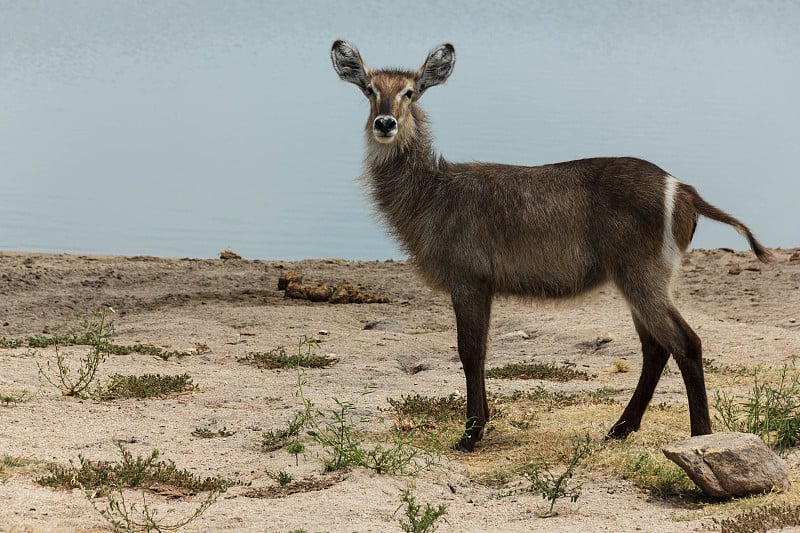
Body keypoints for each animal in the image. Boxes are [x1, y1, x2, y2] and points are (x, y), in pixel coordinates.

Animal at [328, 39, 772, 450]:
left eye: (410, 91)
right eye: (369, 88)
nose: (385, 123)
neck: (431, 195)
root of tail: (685, 190)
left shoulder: (468, 280)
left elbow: (468, 352)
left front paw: (470, 435)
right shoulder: (483, 286)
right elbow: (482, 353)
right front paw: (481, 425)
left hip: (643, 274)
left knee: (686, 342)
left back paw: (700, 436)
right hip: (638, 279)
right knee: (654, 349)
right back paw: (620, 428)